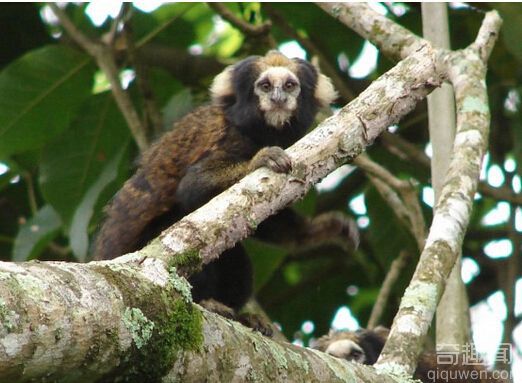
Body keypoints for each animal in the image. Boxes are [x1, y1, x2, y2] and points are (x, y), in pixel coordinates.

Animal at [92, 50, 354, 332]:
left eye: (289, 86)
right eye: (265, 86)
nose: (277, 98)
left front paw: (316, 231)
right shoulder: (230, 137)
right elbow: (193, 188)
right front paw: (257, 161)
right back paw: (206, 302)